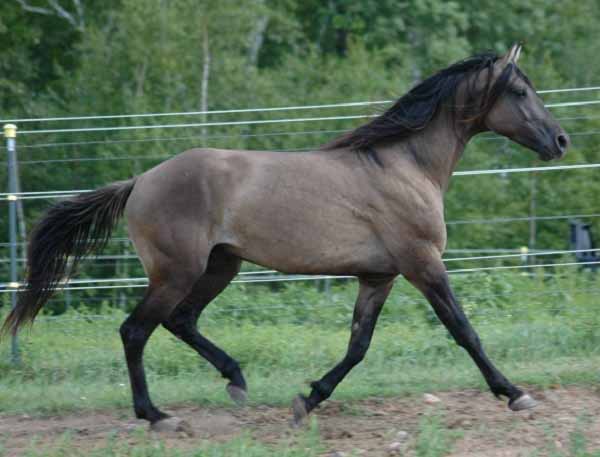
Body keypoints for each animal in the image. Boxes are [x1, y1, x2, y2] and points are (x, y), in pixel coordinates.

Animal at [2, 43, 568, 432]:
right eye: (520, 91)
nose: (560, 140)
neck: (403, 164)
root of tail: (140, 181)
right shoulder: (422, 262)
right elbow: (464, 330)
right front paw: (515, 393)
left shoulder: (378, 276)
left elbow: (358, 346)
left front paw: (307, 400)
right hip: (178, 271)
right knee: (136, 330)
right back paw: (157, 415)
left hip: (220, 266)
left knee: (181, 321)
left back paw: (235, 380)